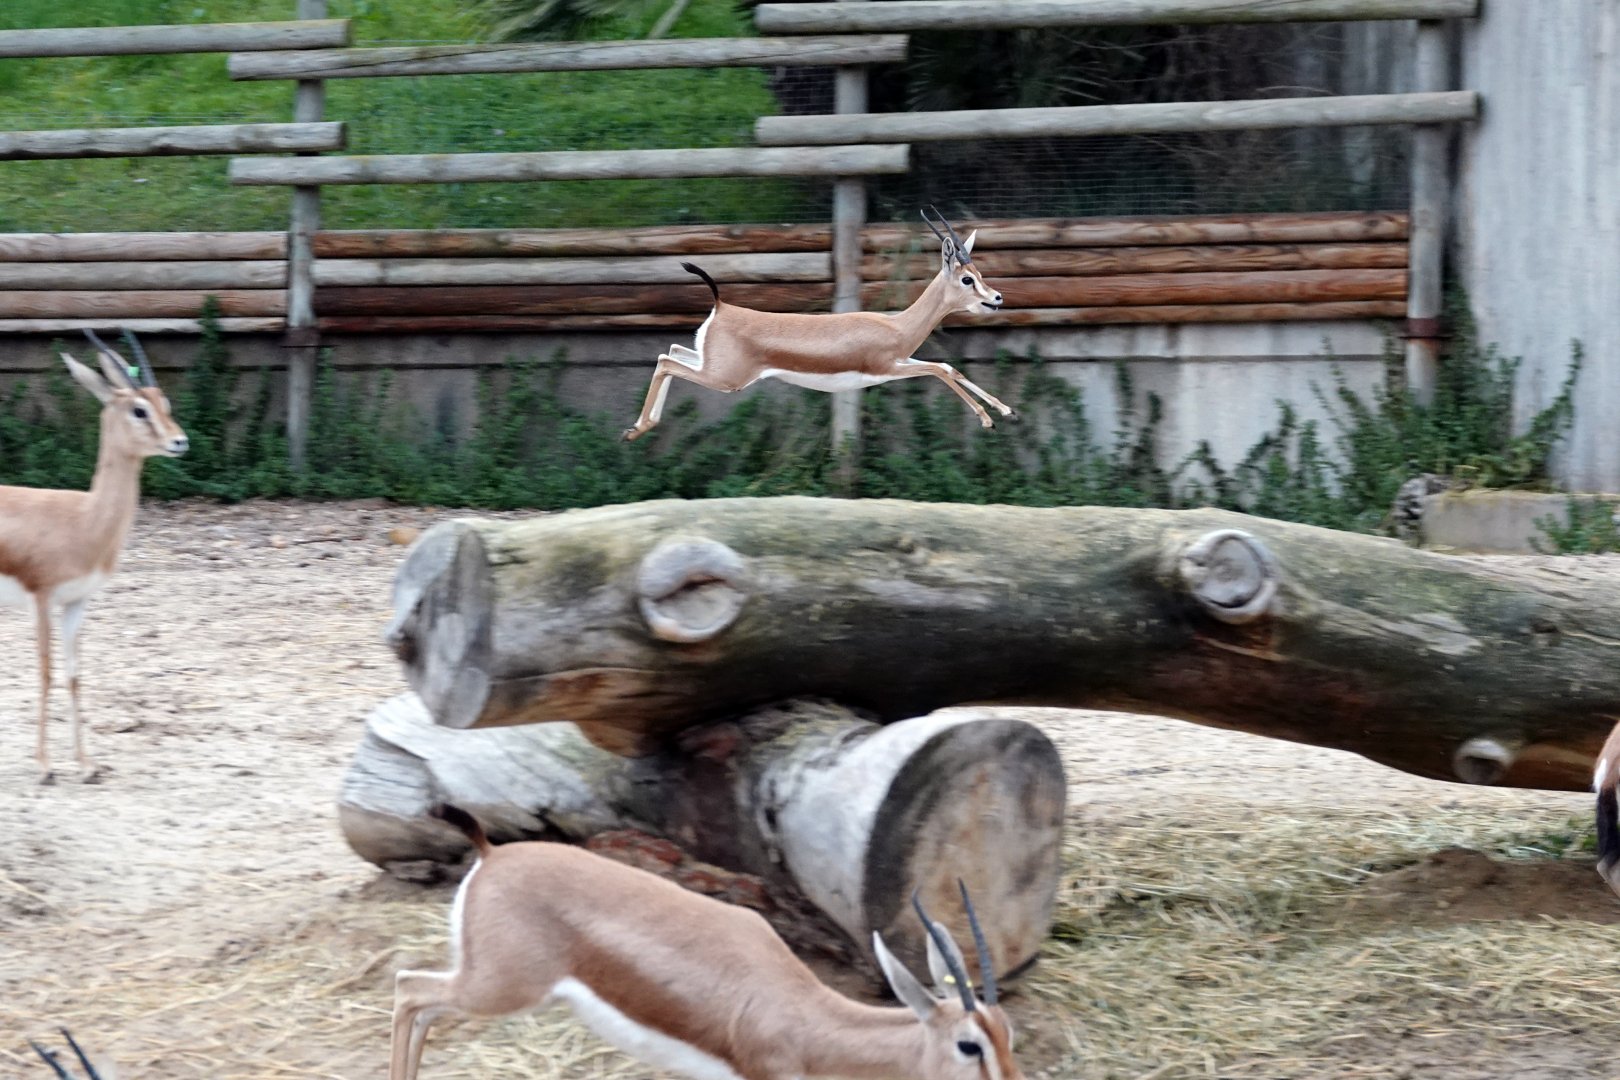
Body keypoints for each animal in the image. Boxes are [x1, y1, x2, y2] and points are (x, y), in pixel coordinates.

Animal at [1, 330, 188, 783]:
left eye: (164, 402)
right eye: (138, 409)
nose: (180, 442)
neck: (83, 520)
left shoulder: (77, 602)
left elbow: (74, 674)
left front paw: (86, 765)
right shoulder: (42, 599)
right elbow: (46, 671)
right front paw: (45, 766)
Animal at [392, 804, 1024, 1080]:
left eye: (1008, 1034)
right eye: (969, 1046)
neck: (808, 1025)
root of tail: (491, 855)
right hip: (498, 989)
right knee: (408, 987)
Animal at [623, 206, 1015, 441]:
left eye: (980, 272)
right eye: (967, 279)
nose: (997, 298)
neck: (898, 328)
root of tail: (721, 307)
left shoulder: (902, 360)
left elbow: (949, 367)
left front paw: (1007, 410)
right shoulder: (888, 367)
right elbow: (939, 370)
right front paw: (987, 419)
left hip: (711, 365)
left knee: (669, 352)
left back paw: (638, 427)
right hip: (727, 379)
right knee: (667, 362)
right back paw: (636, 430)